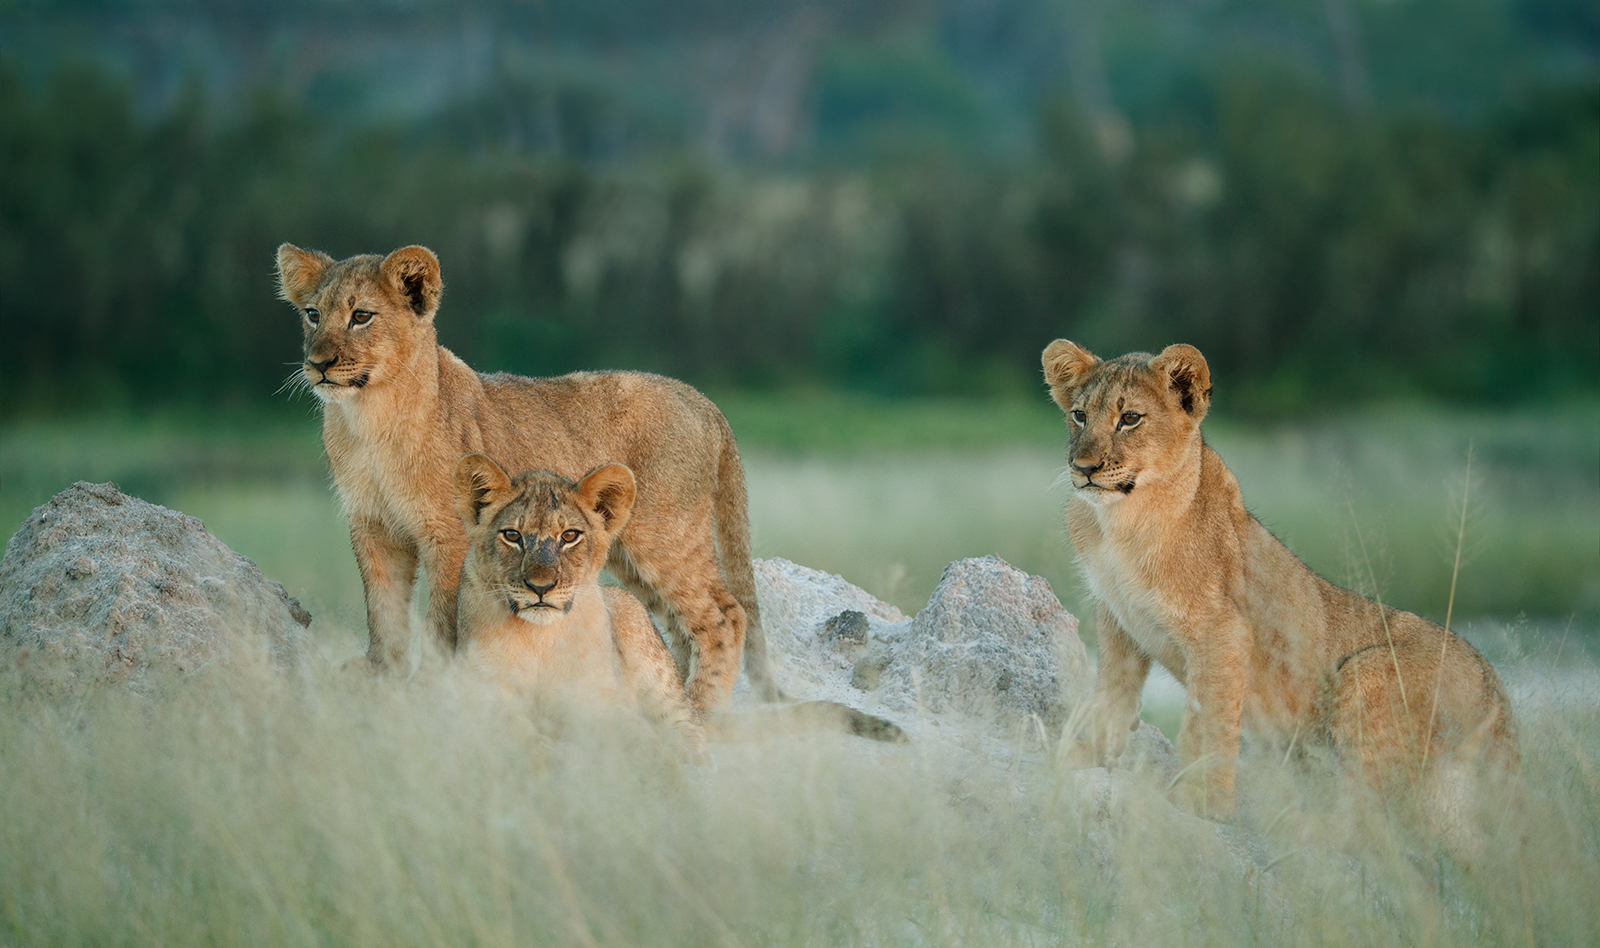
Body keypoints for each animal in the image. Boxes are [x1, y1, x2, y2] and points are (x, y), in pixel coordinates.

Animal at [275, 243, 778, 712]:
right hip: (628, 555)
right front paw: (382, 679)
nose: (317, 364)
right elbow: (384, 611)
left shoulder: (450, 532)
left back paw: (702, 711)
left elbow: (443, 618)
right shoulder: (373, 528)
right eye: (313, 315)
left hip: (667, 538)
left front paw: (435, 686)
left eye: (361, 316)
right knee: (677, 625)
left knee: (725, 615)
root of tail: (703, 400)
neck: (369, 419)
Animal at [453, 454, 907, 752]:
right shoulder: (480, 700)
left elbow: (642, 746)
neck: (540, 639)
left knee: (689, 730)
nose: (541, 587)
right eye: (512, 535)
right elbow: (520, 739)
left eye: (570, 536)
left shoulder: (603, 705)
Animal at [1042, 339, 1518, 819]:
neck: (1119, 524)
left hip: (1367, 674)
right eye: (1080, 415)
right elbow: (1113, 695)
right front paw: (1090, 756)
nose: (1084, 467)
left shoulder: (1223, 632)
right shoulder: (1119, 619)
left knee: (1373, 815)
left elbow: (1206, 723)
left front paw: (1200, 802)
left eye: (1130, 418)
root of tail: (1498, 693)